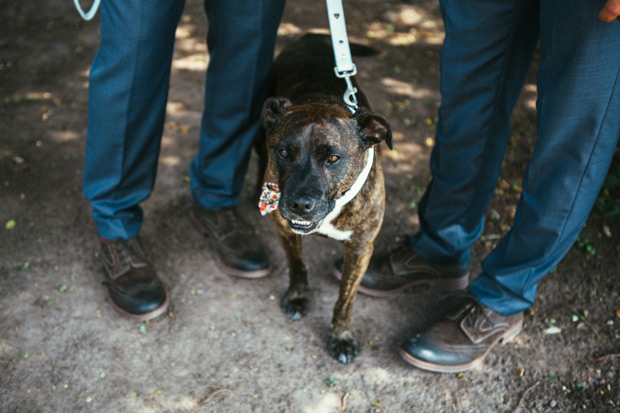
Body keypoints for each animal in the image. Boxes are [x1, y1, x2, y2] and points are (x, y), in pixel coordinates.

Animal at [260, 33, 392, 362]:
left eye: (333, 158)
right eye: (283, 152)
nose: (300, 204)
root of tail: (313, 34)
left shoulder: (361, 249)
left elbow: (346, 298)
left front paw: (341, 335)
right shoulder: (284, 229)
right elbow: (297, 266)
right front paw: (297, 297)